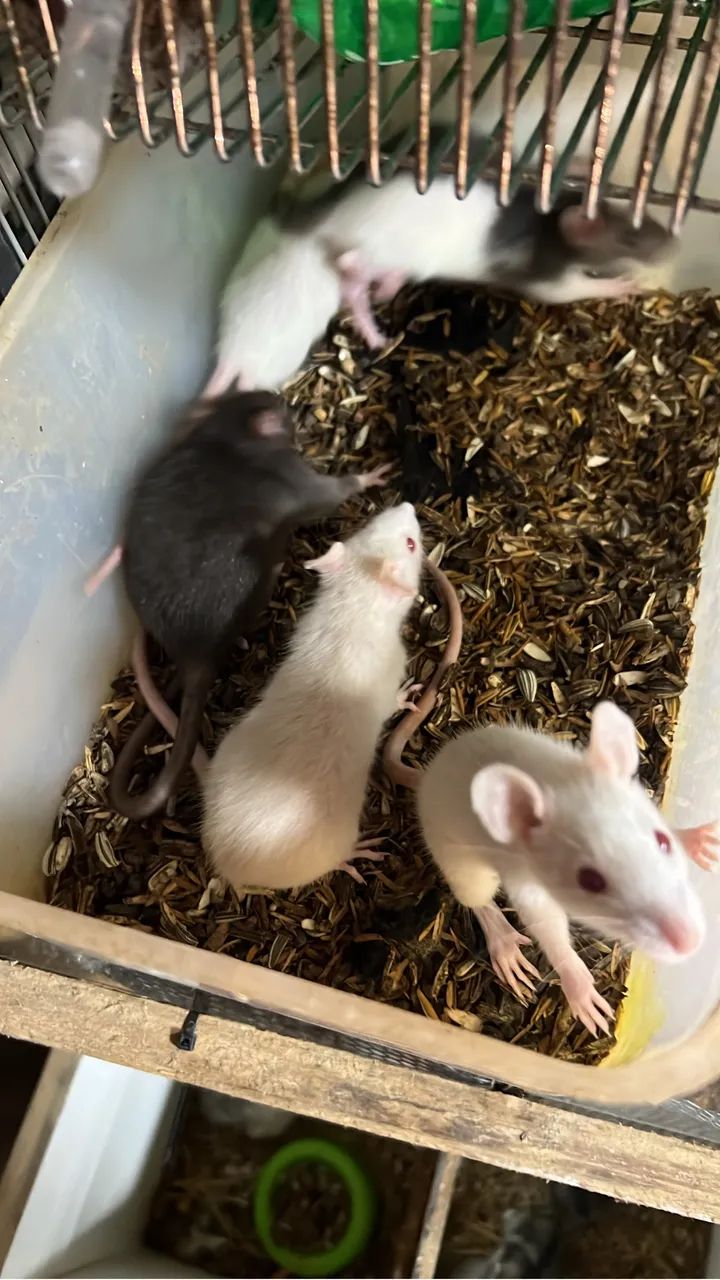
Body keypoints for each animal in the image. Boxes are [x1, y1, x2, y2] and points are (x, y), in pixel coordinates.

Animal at [109, 390, 390, 821]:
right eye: (282, 411)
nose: (285, 402)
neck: (227, 436)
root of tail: (193, 656)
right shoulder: (293, 473)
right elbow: (328, 494)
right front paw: (369, 476)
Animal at [201, 503, 424, 892]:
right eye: (411, 544)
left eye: (366, 526)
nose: (408, 506)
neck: (353, 602)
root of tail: (229, 863)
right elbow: (392, 702)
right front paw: (406, 695)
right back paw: (358, 855)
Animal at [278, 166, 675, 350]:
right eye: (630, 237)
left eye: (644, 215)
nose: (673, 243)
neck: (553, 216)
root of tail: (333, 215)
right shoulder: (547, 270)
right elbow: (562, 291)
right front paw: (616, 285)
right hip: (377, 248)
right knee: (353, 278)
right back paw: (371, 325)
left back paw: (387, 291)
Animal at [413, 703, 717, 1036]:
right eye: (590, 880)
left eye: (662, 840)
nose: (690, 942)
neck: (552, 782)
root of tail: (428, 773)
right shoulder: (523, 875)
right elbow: (544, 921)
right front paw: (579, 987)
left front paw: (696, 840)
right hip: (456, 858)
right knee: (478, 900)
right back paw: (504, 943)